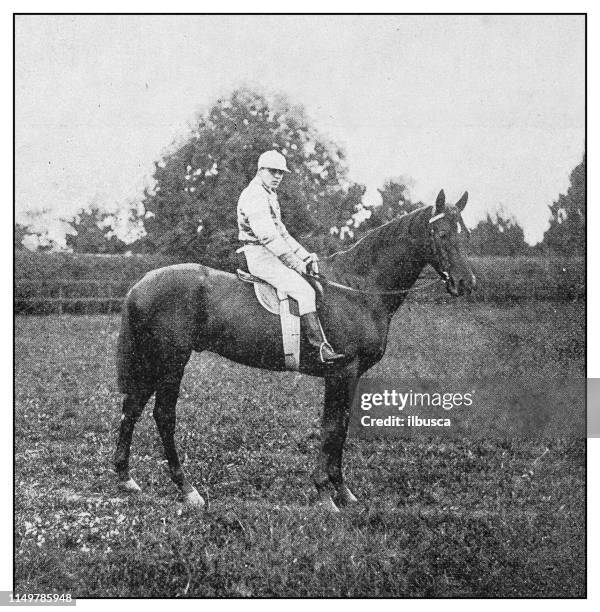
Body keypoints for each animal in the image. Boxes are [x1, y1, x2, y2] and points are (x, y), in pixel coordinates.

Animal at [115, 190, 476, 512]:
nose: (466, 283)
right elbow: (332, 427)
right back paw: (187, 489)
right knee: (163, 415)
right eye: (443, 234)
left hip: (153, 361)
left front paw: (343, 492)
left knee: (132, 407)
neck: (358, 288)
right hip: (171, 361)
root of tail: (140, 285)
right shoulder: (341, 372)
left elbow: (342, 426)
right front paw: (325, 493)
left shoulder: (352, 375)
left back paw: (125, 478)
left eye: (467, 234)